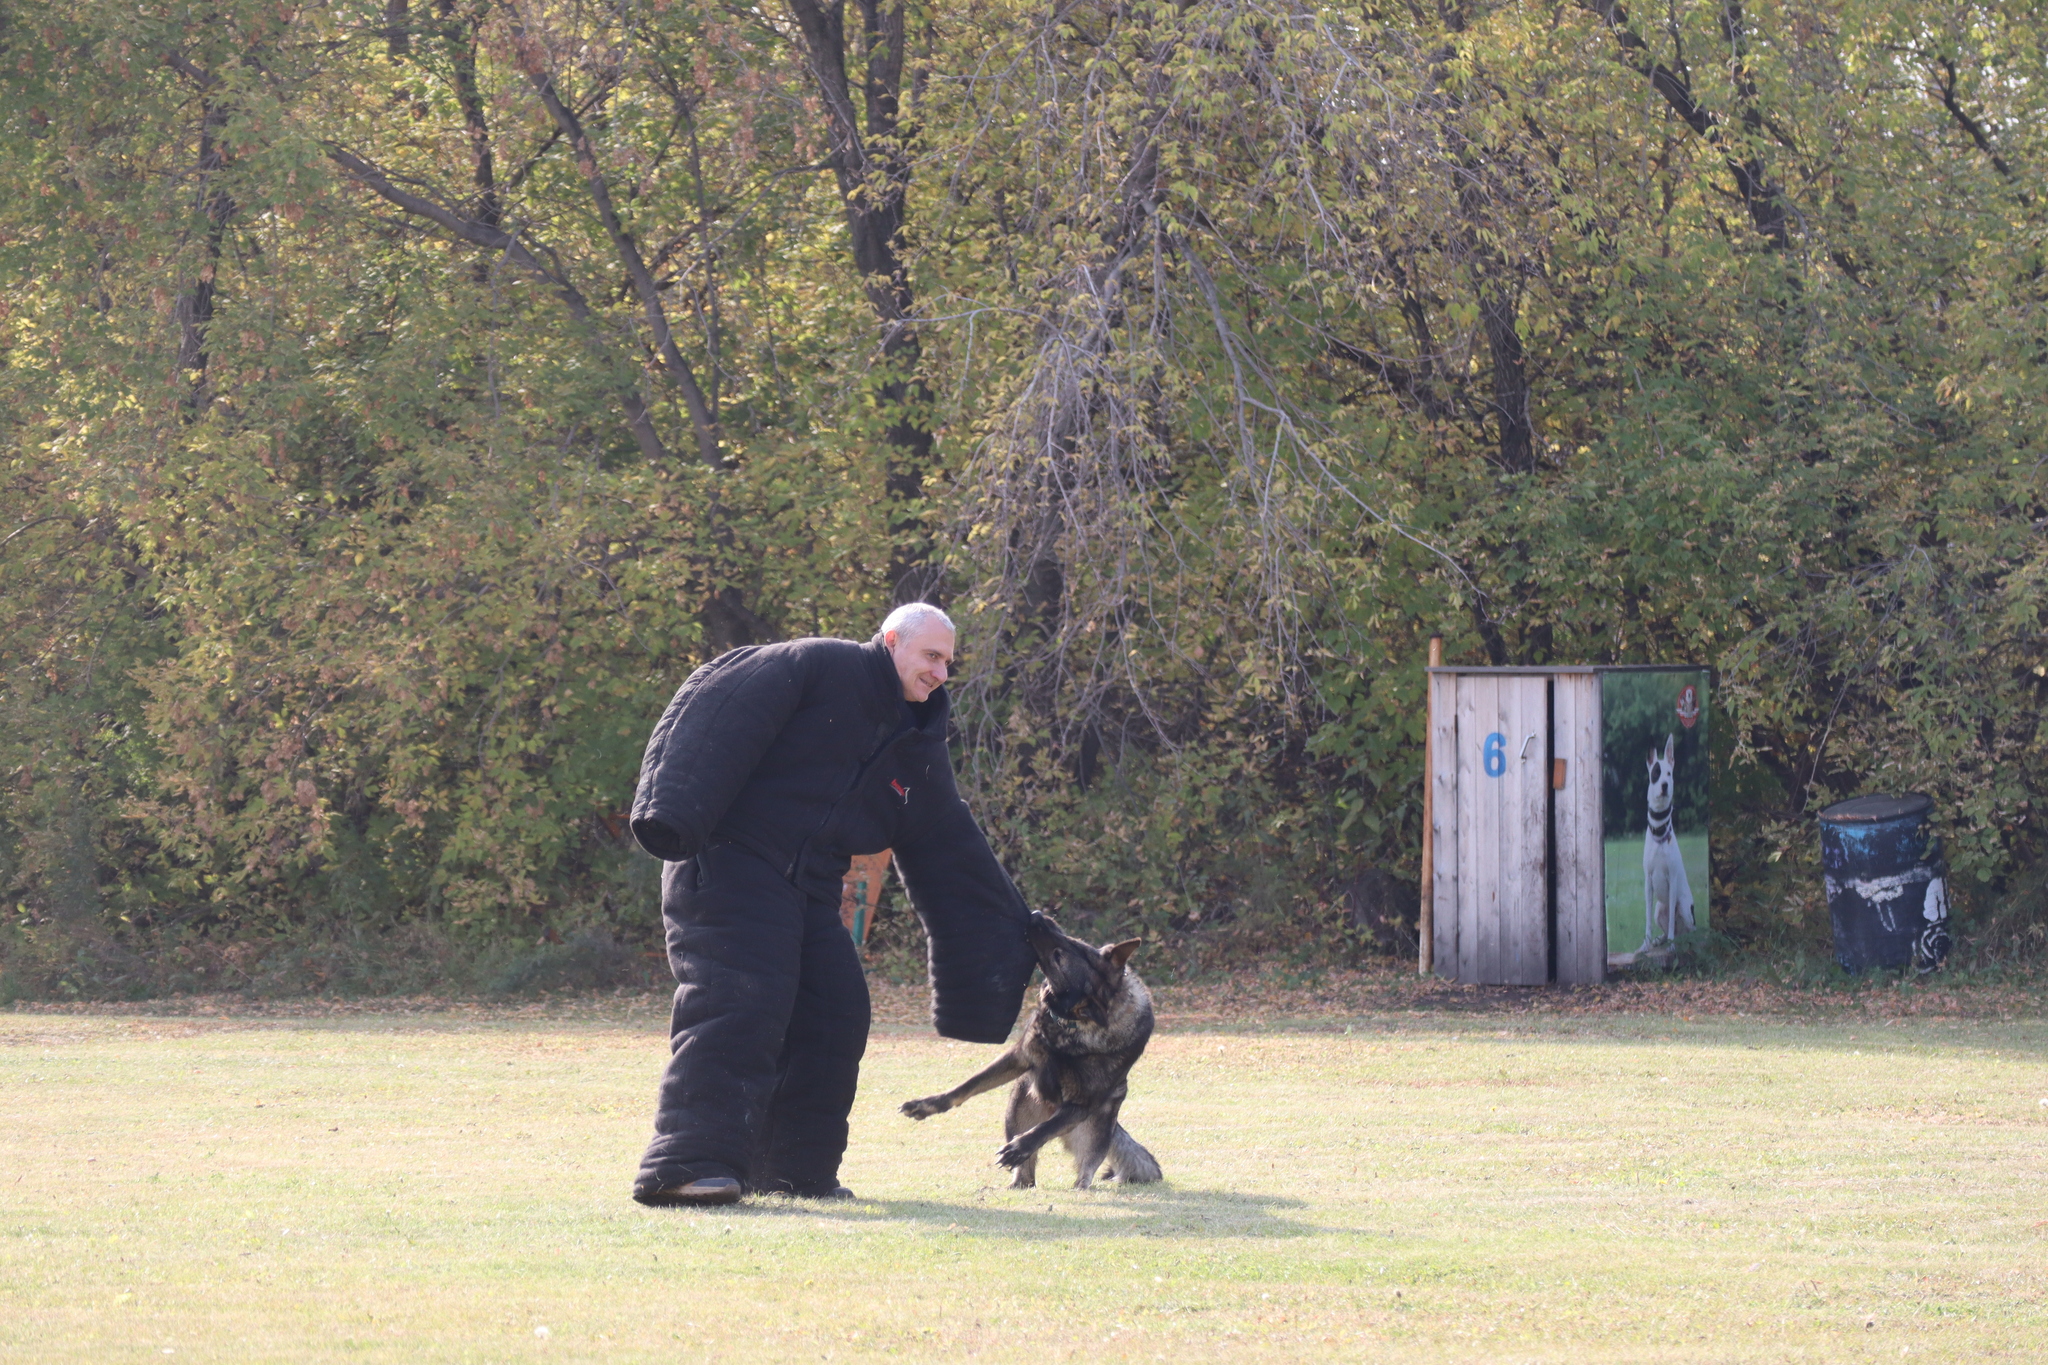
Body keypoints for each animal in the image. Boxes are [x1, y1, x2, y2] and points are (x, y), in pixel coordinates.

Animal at [901, 912, 1171, 1186]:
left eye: (1059, 955)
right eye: (1073, 940)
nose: (1037, 916)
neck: (1074, 1024)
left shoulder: (1082, 1103)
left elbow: (1045, 1129)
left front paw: (1020, 1147)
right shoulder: (1020, 1056)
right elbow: (967, 1085)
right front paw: (928, 1103)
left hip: (1092, 1140)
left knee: (1081, 1175)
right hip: (1017, 1108)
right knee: (1026, 1176)